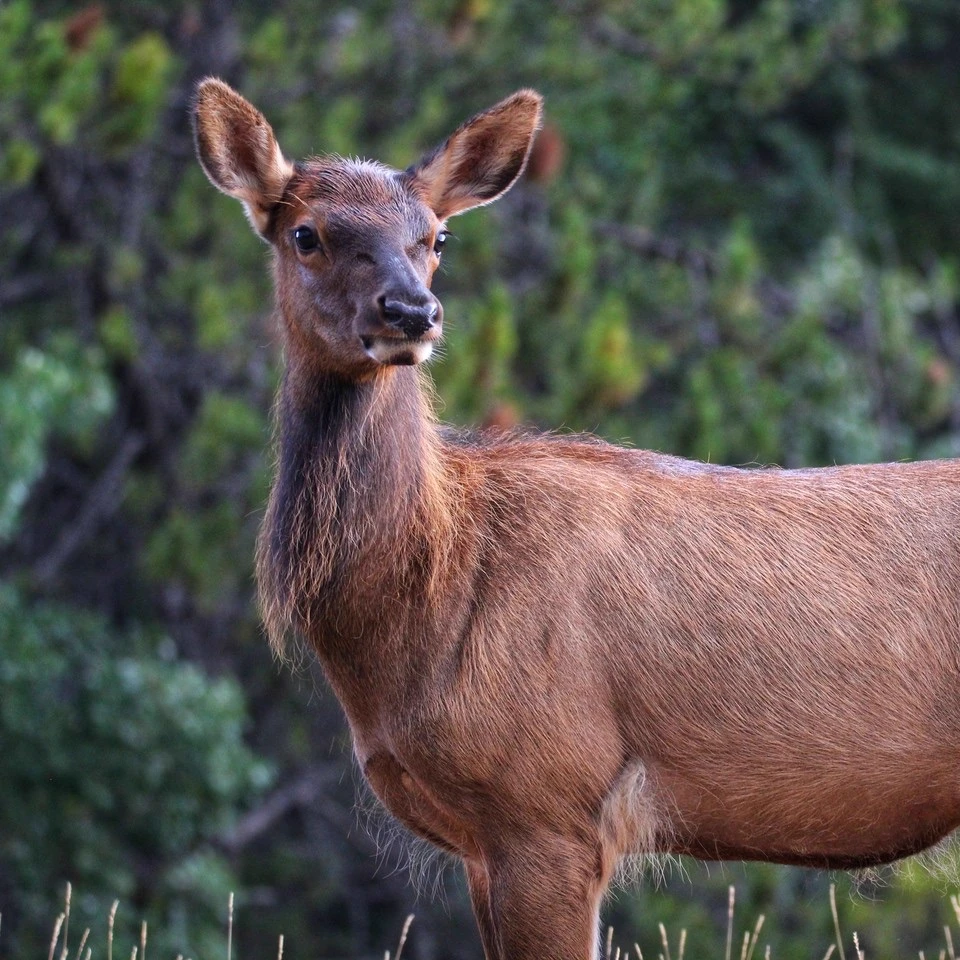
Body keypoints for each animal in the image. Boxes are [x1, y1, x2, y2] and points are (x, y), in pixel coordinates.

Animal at [191, 78, 960, 960]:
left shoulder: (549, 800)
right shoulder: (485, 840)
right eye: (306, 233)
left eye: (437, 236)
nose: (411, 312)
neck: (433, 589)